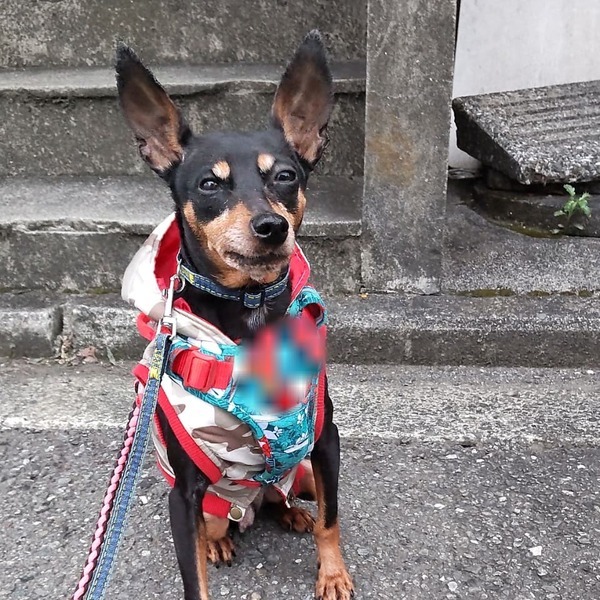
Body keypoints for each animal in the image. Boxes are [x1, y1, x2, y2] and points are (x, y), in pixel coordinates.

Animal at [116, 31, 354, 600]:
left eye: (285, 176)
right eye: (209, 184)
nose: (271, 226)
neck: (251, 311)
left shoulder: (325, 441)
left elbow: (332, 518)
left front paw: (332, 574)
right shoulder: (184, 493)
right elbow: (193, 580)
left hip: (303, 469)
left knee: (289, 497)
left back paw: (292, 514)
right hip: (208, 500)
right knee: (223, 521)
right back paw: (222, 540)